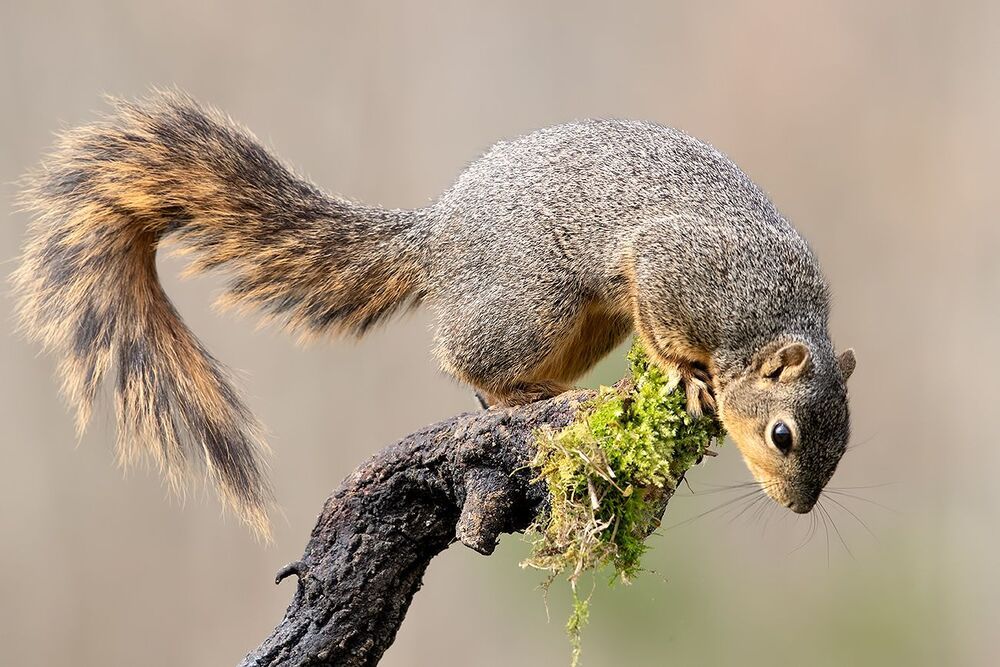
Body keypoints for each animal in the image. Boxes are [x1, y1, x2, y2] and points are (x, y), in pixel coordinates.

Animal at [13, 90, 856, 537]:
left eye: (843, 447)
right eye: (783, 435)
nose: (800, 508)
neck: (771, 316)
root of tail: (441, 230)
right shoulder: (676, 267)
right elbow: (670, 323)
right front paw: (687, 376)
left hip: (584, 323)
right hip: (536, 302)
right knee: (462, 353)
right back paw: (526, 393)